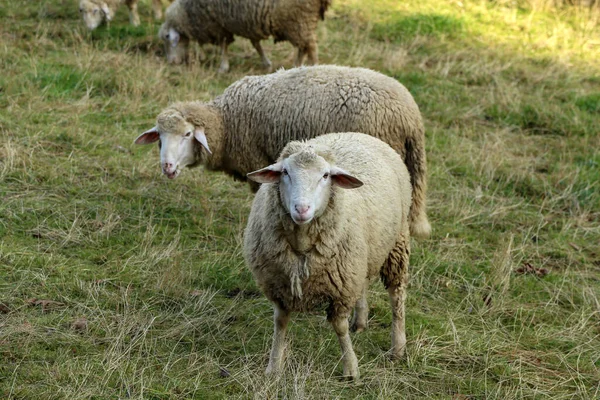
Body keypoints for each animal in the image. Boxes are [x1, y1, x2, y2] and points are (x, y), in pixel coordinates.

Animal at [157, 0, 330, 70]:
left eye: (167, 37)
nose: (172, 62)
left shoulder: (218, 24)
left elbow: (223, 45)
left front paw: (223, 67)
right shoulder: (249, 23)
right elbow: (256, 44)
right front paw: (266, 63)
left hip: (300, 19)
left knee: (311, 46)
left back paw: (315, 67)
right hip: (299, 23)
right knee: (303, 47)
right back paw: (297, 66)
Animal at [244, 132, 412, 378]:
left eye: (325, 175)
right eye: (285, 172)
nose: (301, 209)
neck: (302, 243)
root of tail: (358, 133)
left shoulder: (341, 290)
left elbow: (340, 328)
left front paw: (351, 368)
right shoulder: (279, 287)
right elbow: (280, 324)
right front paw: (274, 367)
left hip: (397, 244)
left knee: (396, 295)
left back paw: (397, 347)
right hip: (360, 258)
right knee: (363, 285)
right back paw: (360, 322)